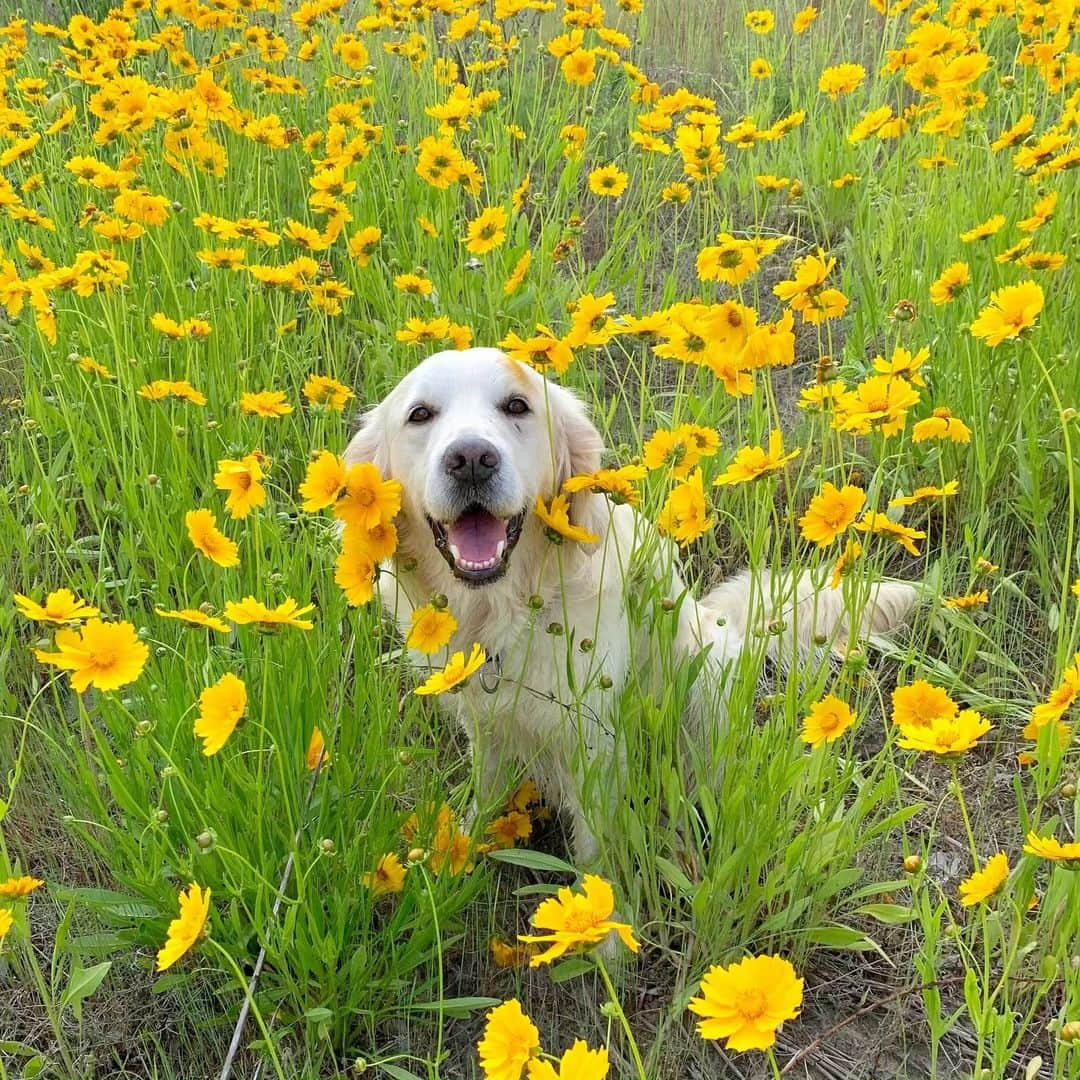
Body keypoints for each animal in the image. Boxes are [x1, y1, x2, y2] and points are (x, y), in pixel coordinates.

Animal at [343, 345, 911, 859]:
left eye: (516, 406)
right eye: (420, 414)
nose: (470, 461)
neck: (505, 613)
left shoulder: (594, 740)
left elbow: (595, 850)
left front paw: (597, 907)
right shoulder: (483, 723)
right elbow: (485, 793)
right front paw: (458, 854)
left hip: (705, 677)